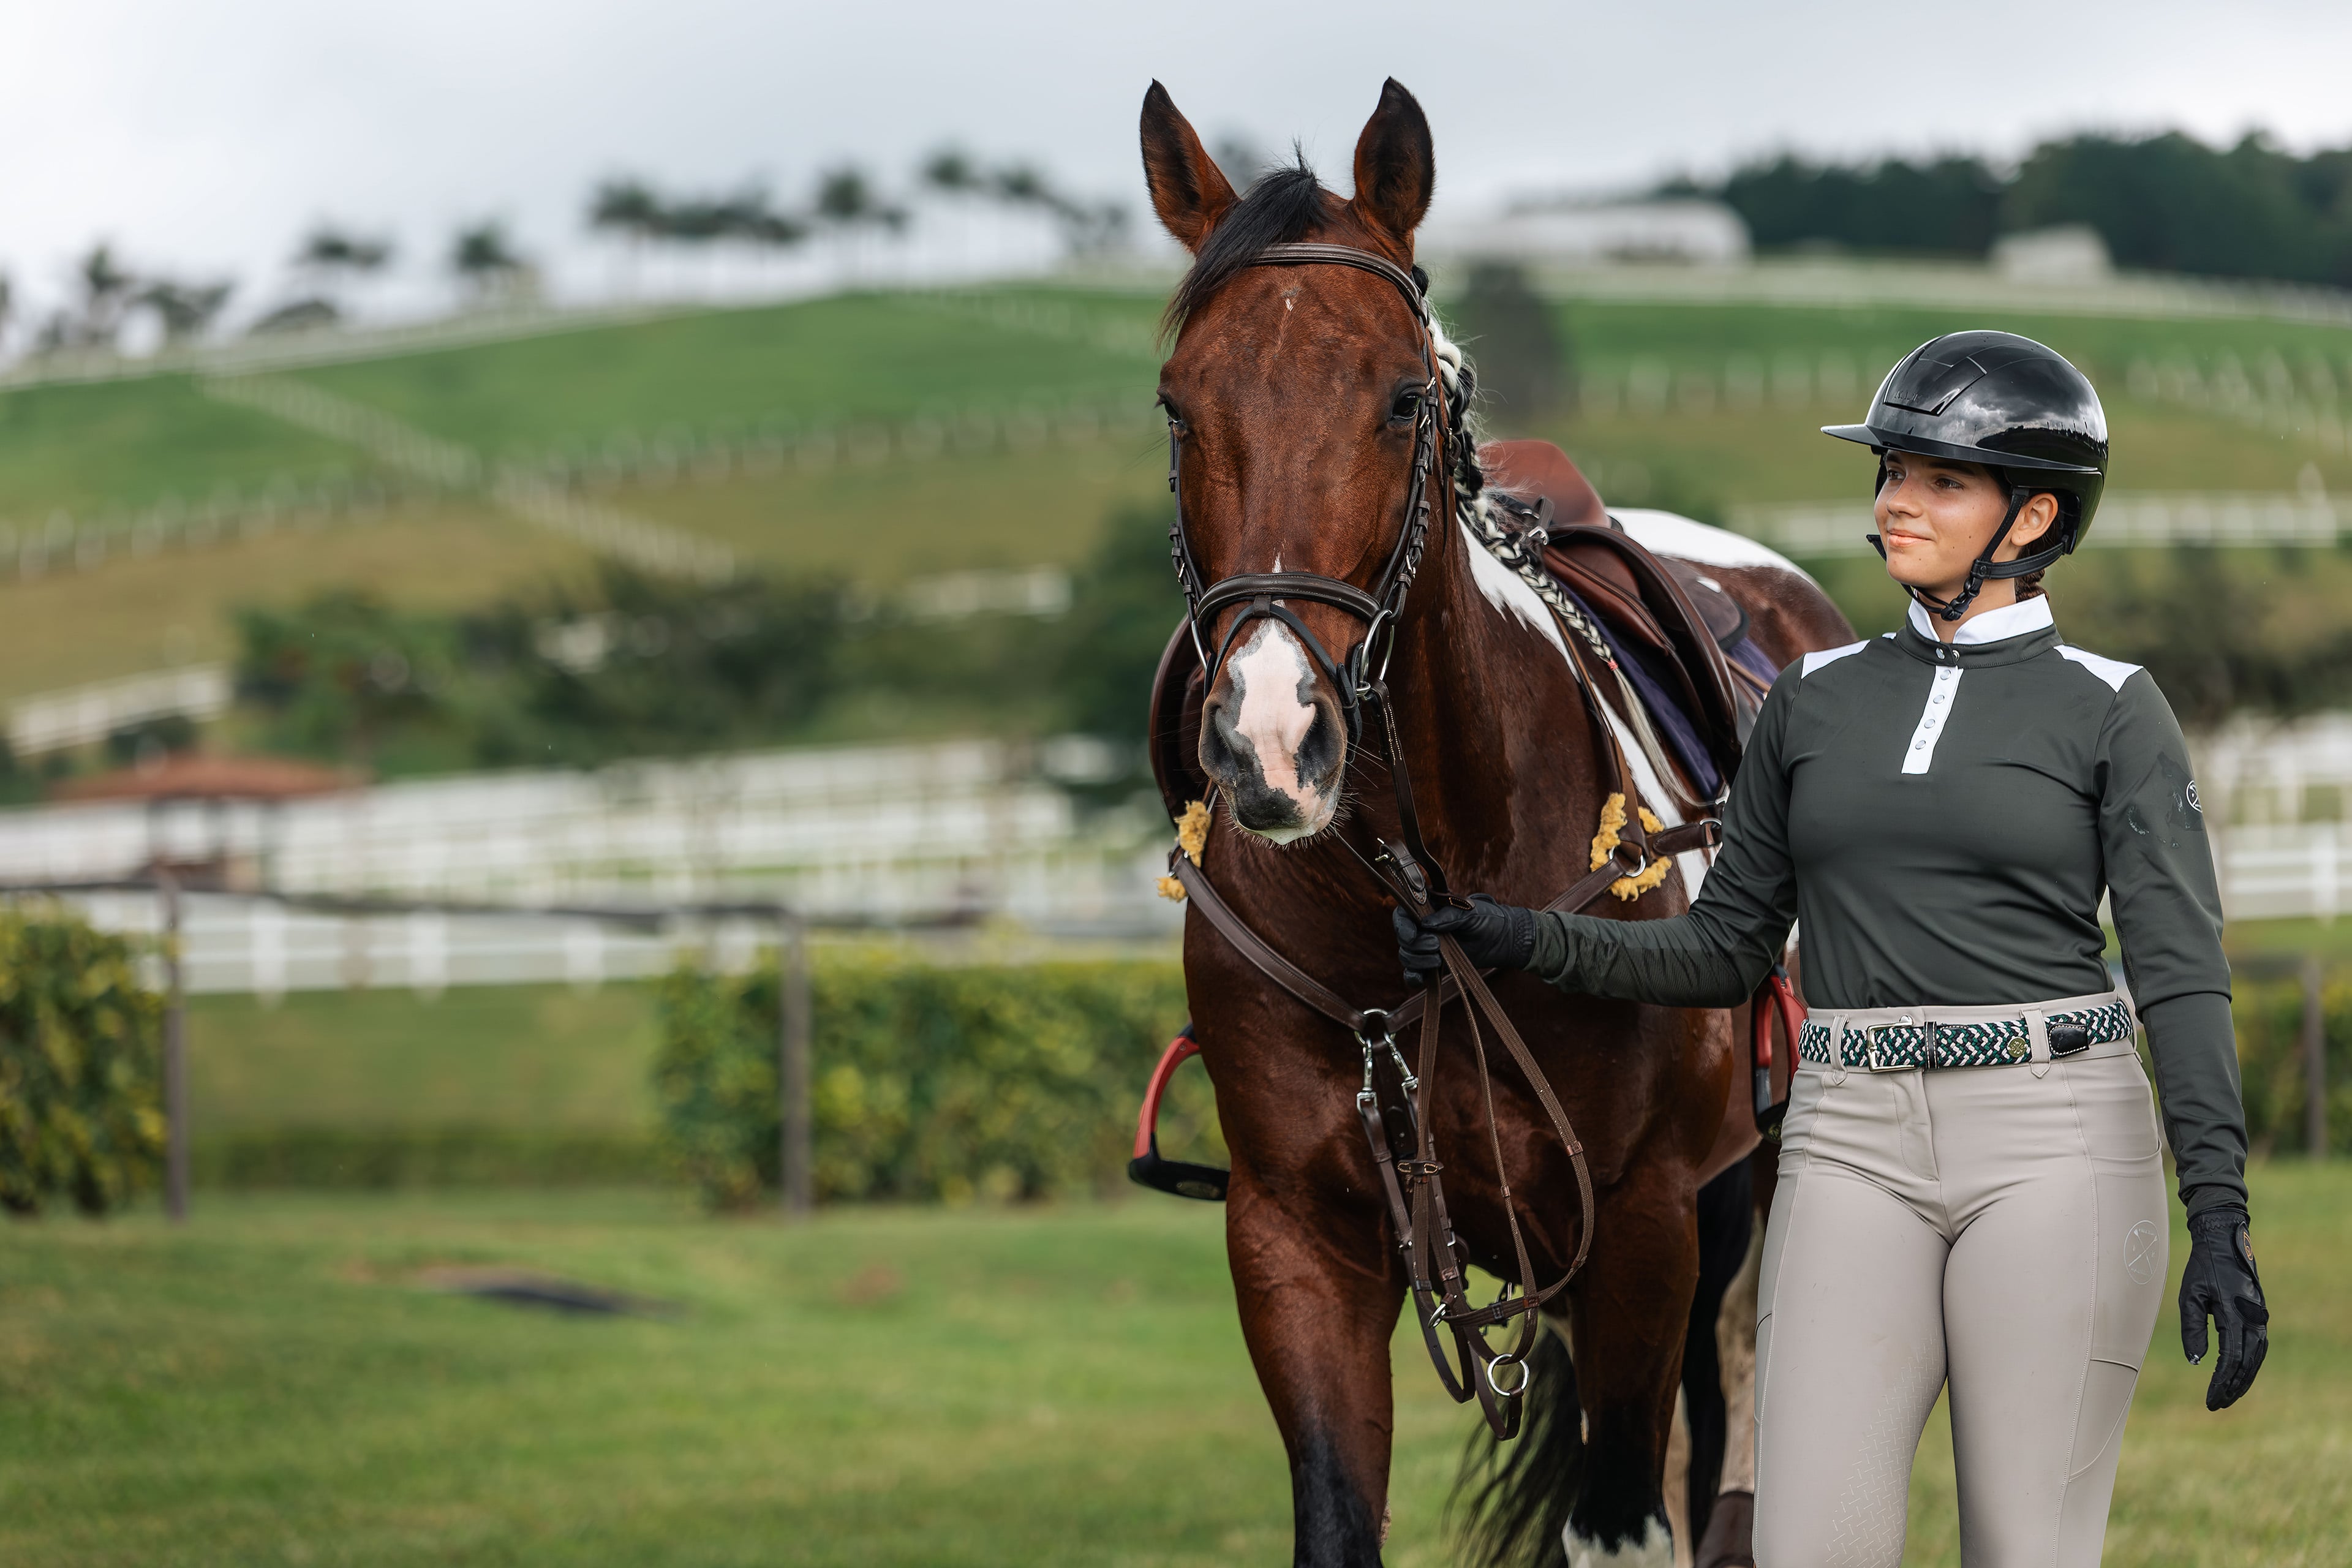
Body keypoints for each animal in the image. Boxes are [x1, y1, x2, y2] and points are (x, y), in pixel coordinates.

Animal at [1137, 79, 1853, 1567]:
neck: (1418, 907)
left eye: (1405, 397)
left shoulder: (1640, 1224)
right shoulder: (1295, 1237)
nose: (1274, 733)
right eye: (1180, 408)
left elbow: (1627, 1515)